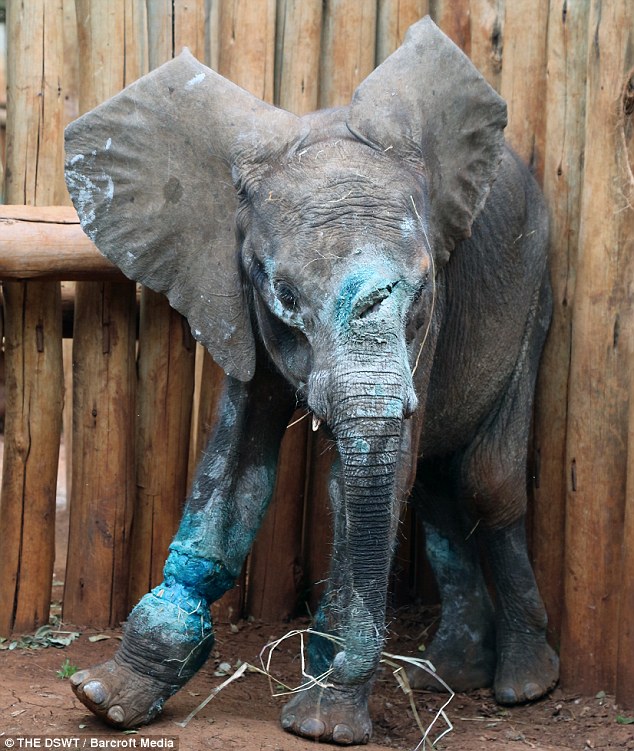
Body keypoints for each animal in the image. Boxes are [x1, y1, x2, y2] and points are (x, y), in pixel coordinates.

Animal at [64, 16, 558, 746]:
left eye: (420, 294)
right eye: (286, 295)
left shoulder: (431, 325)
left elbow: (361, 485)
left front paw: (323, 721)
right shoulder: (235, 293)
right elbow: (237, 463)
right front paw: (108, 697)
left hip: (535, 292)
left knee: (484, 484)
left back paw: (524, 685)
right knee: (437, 487)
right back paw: (444, 677)